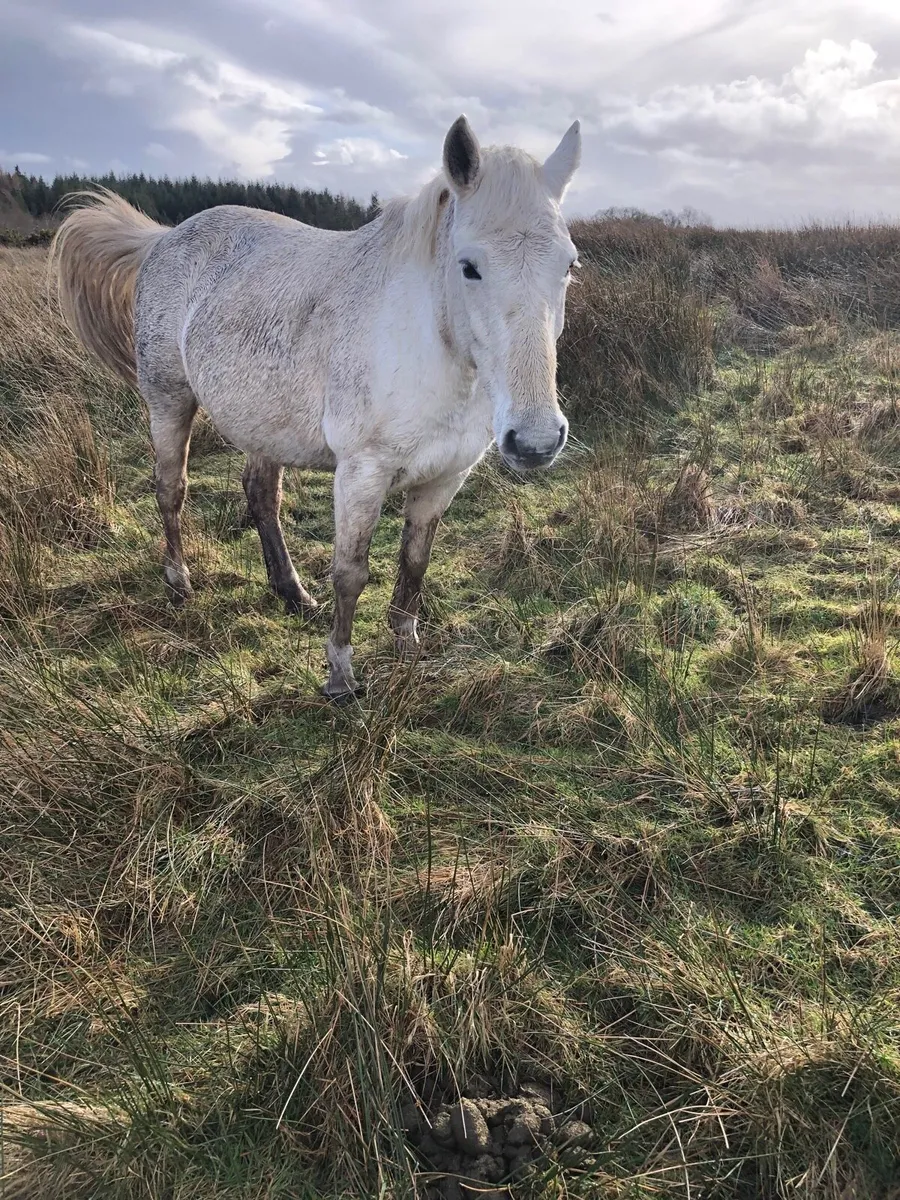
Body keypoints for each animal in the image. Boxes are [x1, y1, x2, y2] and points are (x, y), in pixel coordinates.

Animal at [51, 115, 582, 700]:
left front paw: (406, 646)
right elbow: (351, 571)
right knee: (171, 489)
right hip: (169, 400)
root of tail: (164, 239)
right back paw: (180, 582)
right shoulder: (362, 474)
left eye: (568, 265)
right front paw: (340, 676)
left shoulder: (446, 476)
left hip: (263, 424)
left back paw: (292, 593)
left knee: (261, 496)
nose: (534, 441)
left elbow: (414, 561)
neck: (430, 346)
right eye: (469, 267)